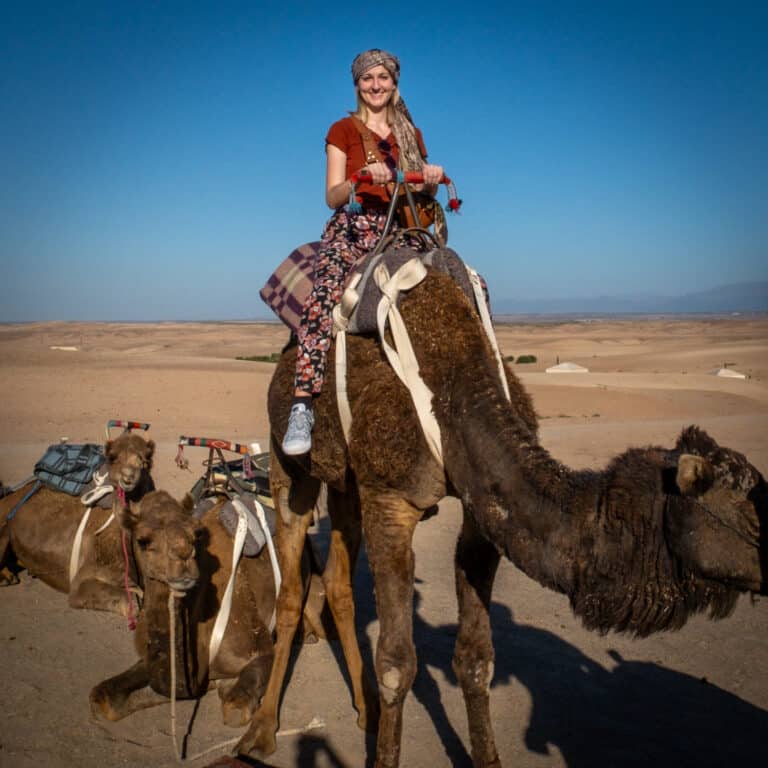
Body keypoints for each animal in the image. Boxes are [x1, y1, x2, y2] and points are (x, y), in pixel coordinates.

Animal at [0, 436, 156, 616]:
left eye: (144, 461)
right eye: (114, 459)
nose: (129, 477)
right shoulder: (84, 580)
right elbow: (133, 603)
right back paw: (6, 577)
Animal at [237, 268, 764, 764]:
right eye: (750, 516)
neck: (456, 396)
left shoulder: (481, 510)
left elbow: (476, 658)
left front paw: (485, 755)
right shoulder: (391, 497)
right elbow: (396, 664)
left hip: (346, 481)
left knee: (339, 582)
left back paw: (365, 710)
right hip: (289, 463)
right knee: (291, 588)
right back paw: (260, 730)